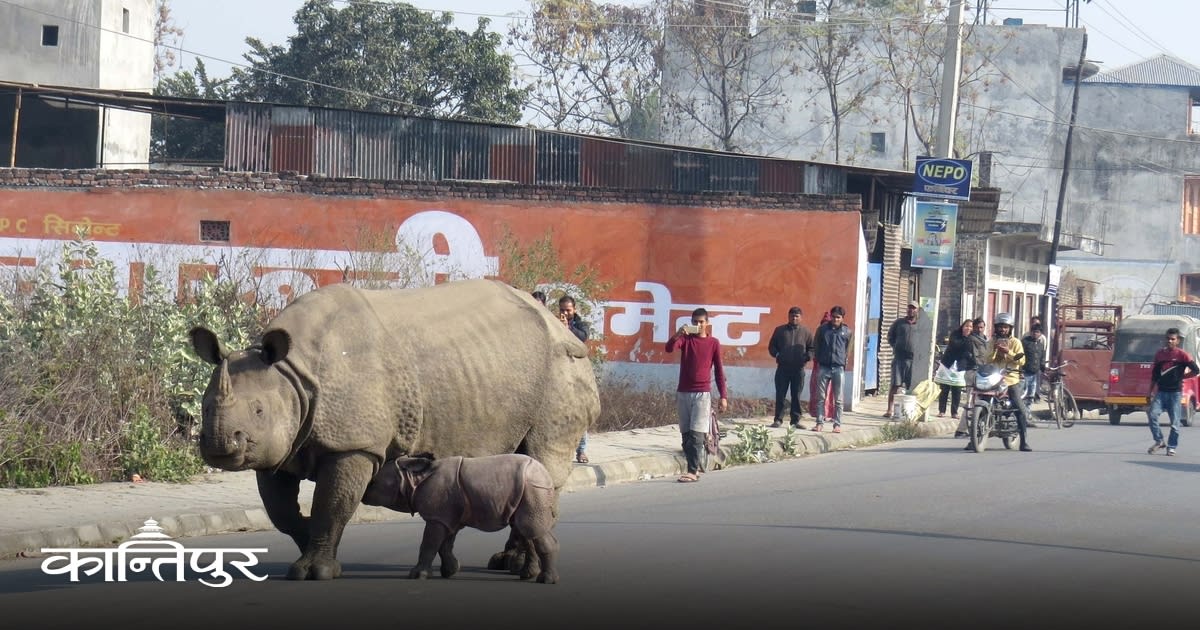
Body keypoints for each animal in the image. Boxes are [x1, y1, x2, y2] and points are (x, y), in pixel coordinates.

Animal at [361, 454, 560, 583]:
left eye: (373, 483)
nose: (362, 494)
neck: (411, 478)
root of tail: (547, 475)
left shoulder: (437, 517)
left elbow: (429, 544)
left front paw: (417, 576)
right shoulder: (448, 517)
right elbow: (444, 545)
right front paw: (450, 571)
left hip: (532, 488)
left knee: (530, 528)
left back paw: (545, 580)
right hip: (527, 491)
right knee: (526, 529)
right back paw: (531, 576)